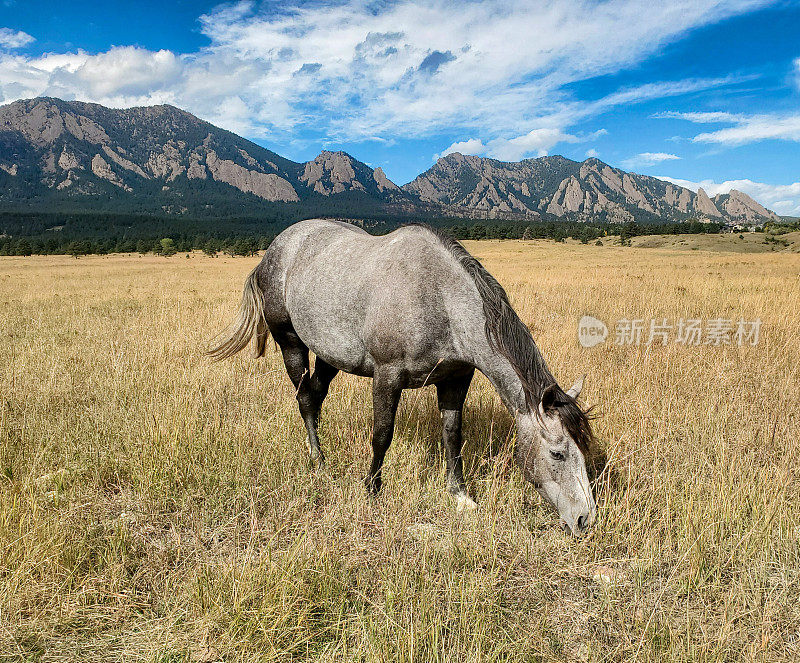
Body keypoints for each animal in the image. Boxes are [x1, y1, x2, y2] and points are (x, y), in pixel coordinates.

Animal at [209, 220, 596, 536]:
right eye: (558, 453)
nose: (584, 519)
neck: (439, 298)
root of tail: (273, 250)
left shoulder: (456, 379)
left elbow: (452, 436)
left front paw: (460, 495)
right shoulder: (386, 376)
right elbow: (382, 435)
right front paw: (372, 490)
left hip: (329, 356)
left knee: (315, 397)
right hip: (290, 342)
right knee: (304, 399)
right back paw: (319, 463)